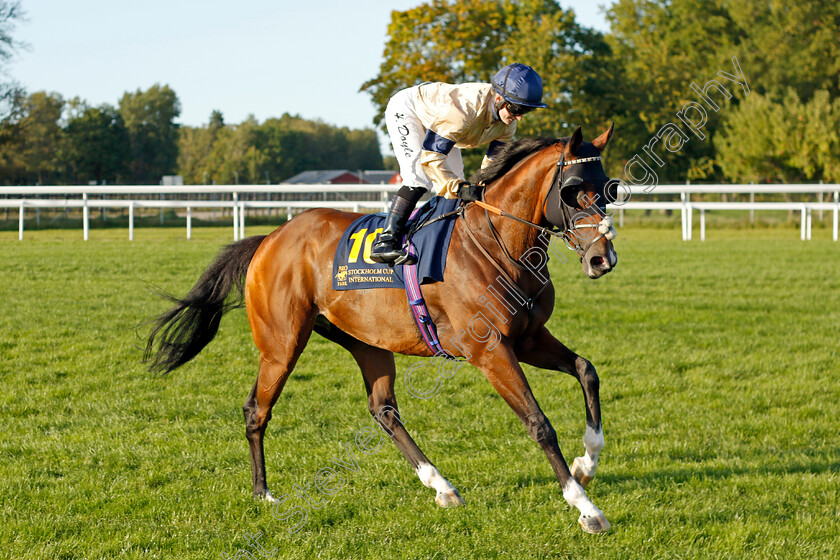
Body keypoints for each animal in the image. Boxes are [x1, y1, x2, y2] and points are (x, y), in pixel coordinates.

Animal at [144, 124, 616, 536]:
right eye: (574, 192)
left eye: (610, 189)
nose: (603, 259)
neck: (497, 242)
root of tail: (269, 238)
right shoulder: (490, 349)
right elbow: (539, 423)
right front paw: (586, 509)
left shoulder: (528, 338)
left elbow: (586, 370)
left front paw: (586, 463)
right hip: (282, 344)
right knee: (256, 410)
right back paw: (263, 492)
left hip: (367, 341)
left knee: (384, 410)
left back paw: (441, 486)